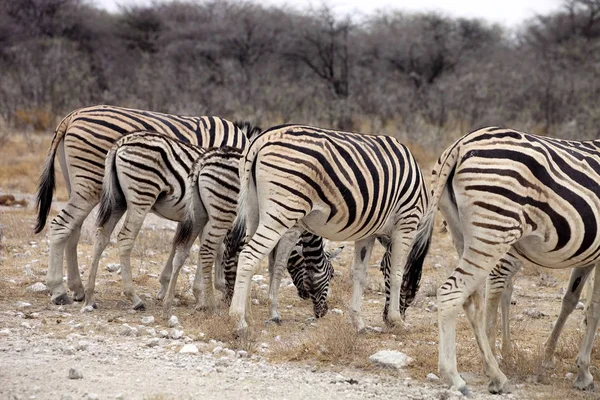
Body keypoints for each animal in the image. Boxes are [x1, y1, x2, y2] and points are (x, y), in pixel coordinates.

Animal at [33, 104, 248, 304]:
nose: (230, 297)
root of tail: (72, 115)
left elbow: (180, 242)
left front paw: (167, 286)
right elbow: (211, 245)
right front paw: (204, 289)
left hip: (77, 185)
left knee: (74, 230)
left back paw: (77, 288)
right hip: (90, 184)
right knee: (62, 225)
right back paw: (59, 290)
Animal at [220, 123, 432, 332]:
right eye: (416, 282)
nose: (387, 319)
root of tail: (261, 139)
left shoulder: (368, 233)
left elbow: (360, 274)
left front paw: (359, 322)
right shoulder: (406, 222)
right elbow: (397, 273)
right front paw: (398, 321)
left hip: (253, 210)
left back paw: (248, 316)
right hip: (281, 211)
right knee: (248, 256)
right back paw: (238, 321)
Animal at [412, 127, 600, 394]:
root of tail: (459, 145)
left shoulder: (588, 254)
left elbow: (573, 301)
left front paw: (561, 362)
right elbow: (594, 308)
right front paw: (584, 373)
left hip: (463, 234)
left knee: (473, 301)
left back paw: (495, 374)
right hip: (494, 232)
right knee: (454, 293)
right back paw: (456, 377)